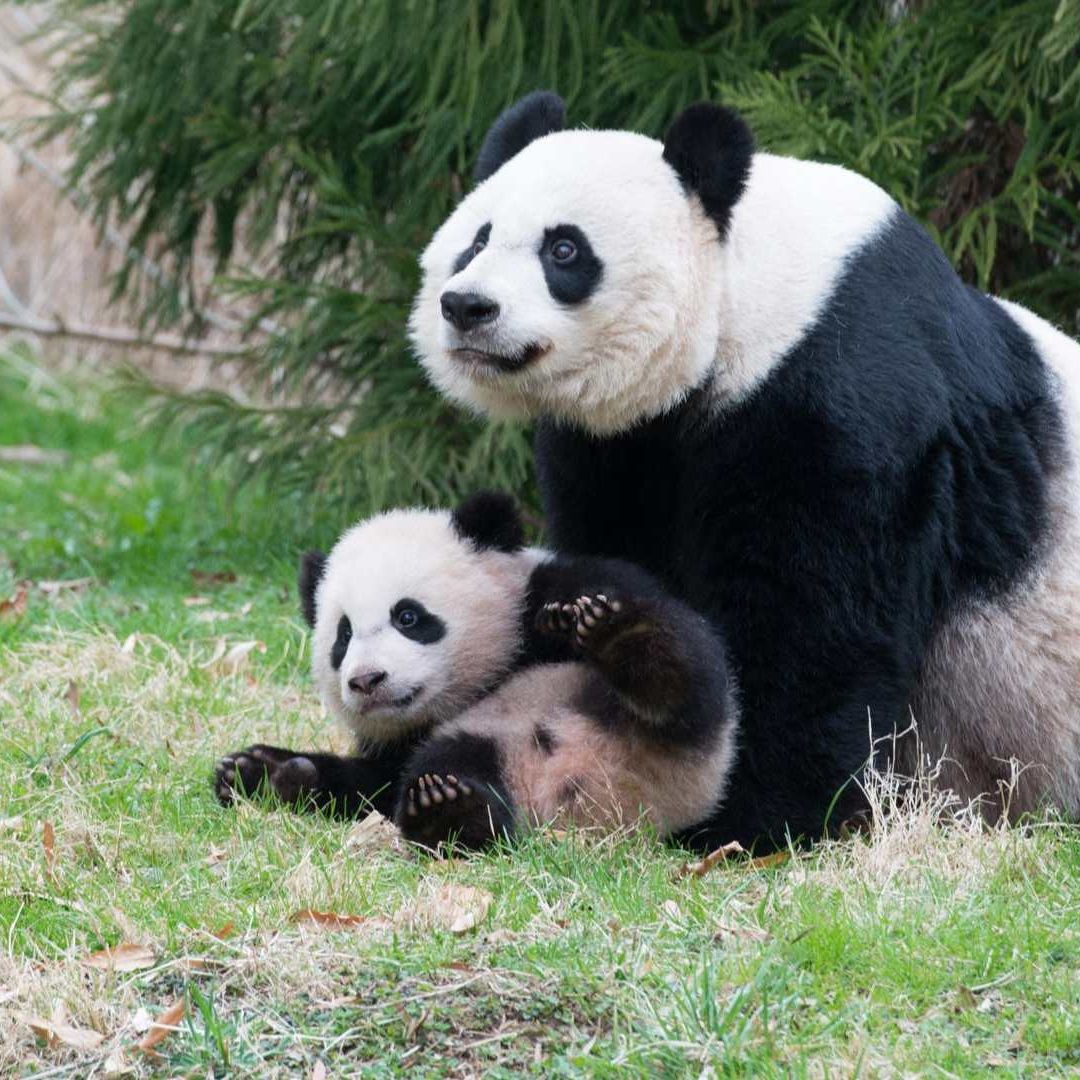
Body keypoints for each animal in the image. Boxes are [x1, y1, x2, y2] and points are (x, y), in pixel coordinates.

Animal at [214, 492, 738, 850]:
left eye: (408, 617)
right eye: (343, 637)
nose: (366, 681)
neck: (491, 674)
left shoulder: (555, 587)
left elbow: (687, 636)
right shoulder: (407, 737)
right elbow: (379, 782)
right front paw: (255, 770)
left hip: (669, 735)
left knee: (688, 690)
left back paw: (628, 642)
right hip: (486, 740)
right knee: (450, 764)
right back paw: (448, 810)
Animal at [410, 91, 1080, 849]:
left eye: (564, 249)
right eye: (477, 239)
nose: (467, 307)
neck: (746, 298)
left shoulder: (844, 388)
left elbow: (814, 618)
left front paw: (751, 815)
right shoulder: (622, 444)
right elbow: (620, 547)